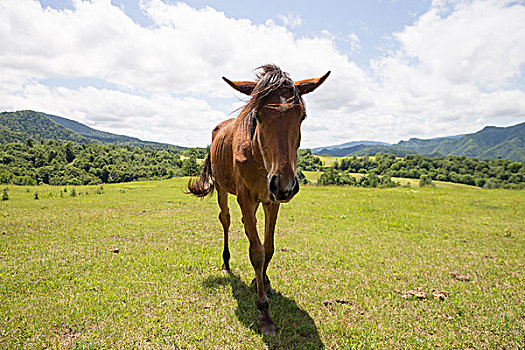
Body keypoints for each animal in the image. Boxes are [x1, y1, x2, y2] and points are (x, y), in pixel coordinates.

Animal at [187, 64, 328, 334]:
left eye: (302, 117)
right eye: (259, 116)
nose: (285, 184)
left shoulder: (272, 201)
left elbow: (268, 246)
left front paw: (264, 280)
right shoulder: (246, 197)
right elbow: (256, 252)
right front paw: (264, 313)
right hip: (223, 189)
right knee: (226, 219)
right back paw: (225, 263)